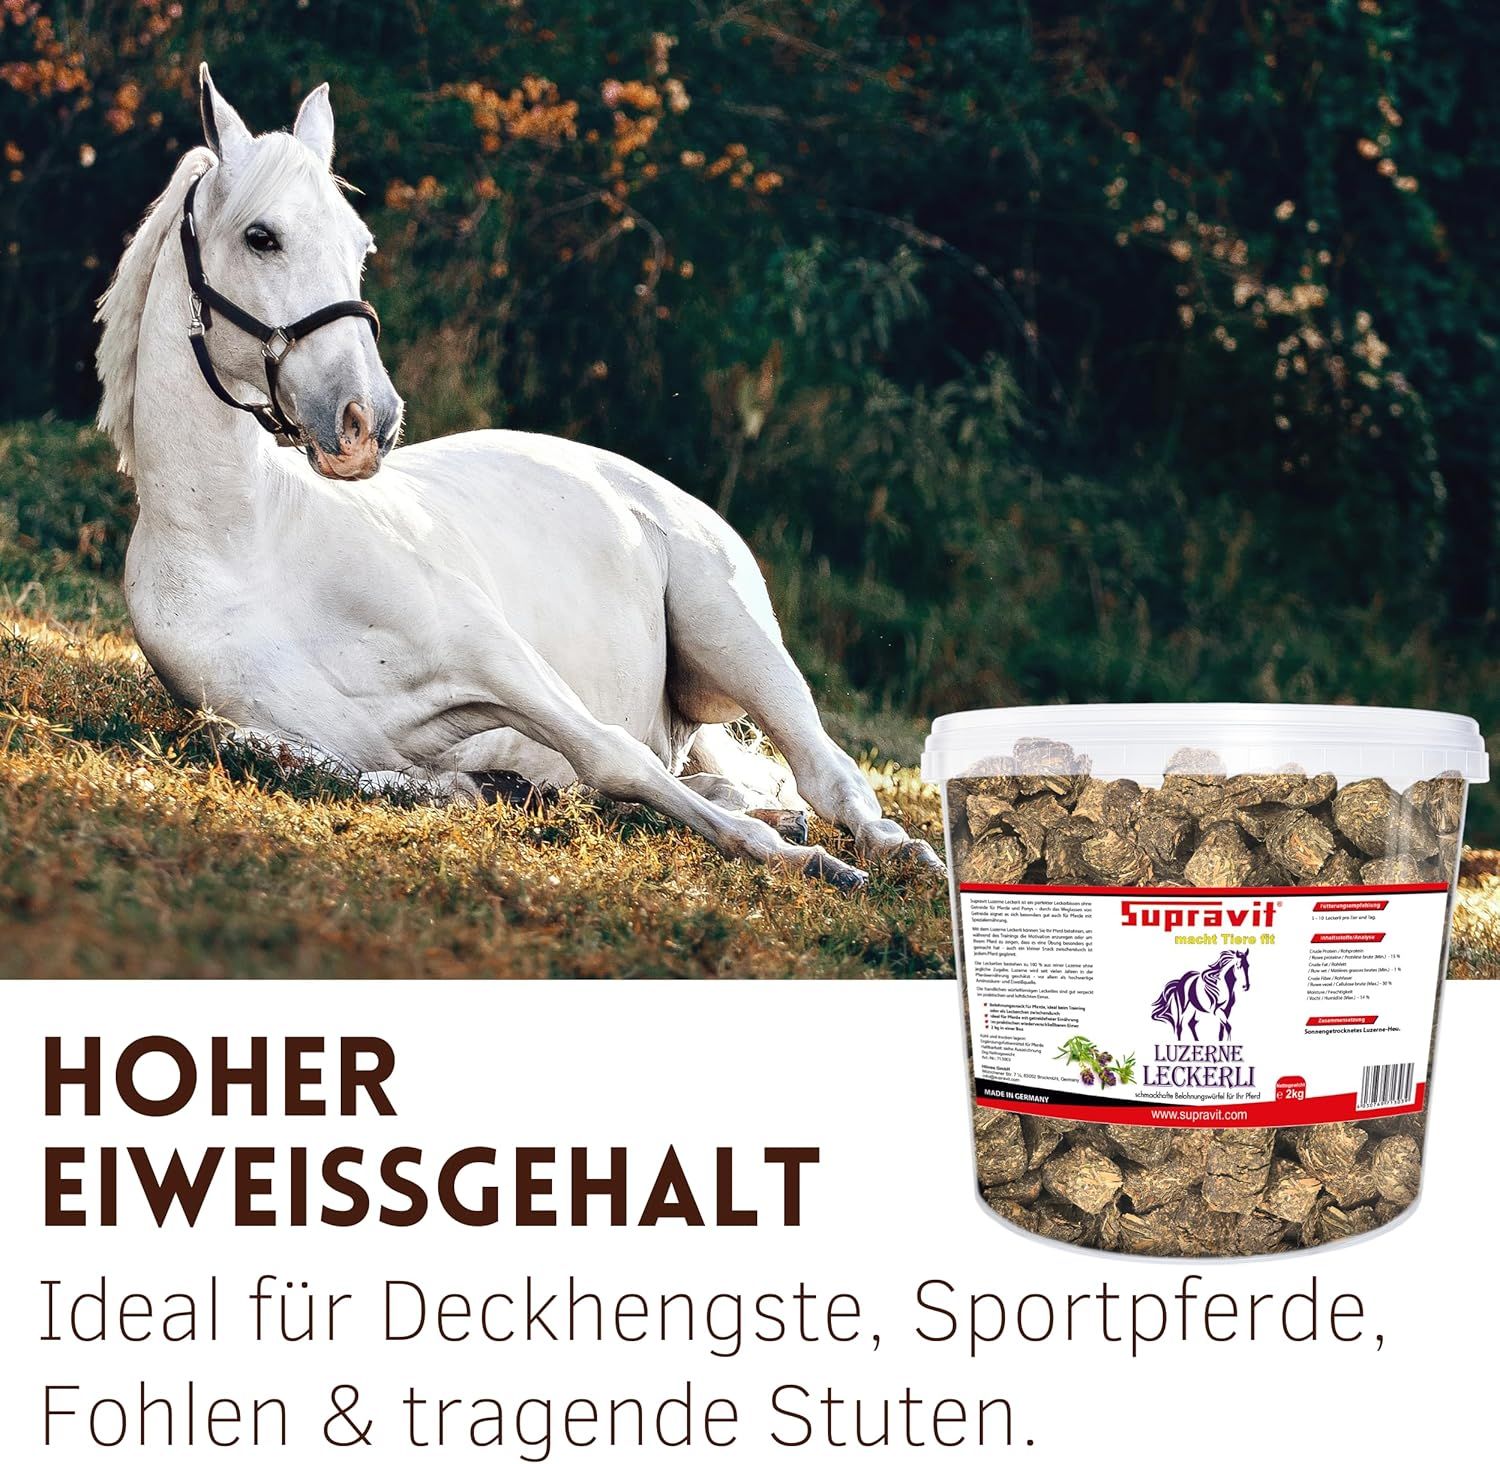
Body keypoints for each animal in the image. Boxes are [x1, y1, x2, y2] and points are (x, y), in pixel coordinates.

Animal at [95, 66, 943, 892]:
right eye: (261, 237)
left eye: (359, 246)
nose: (369, 420)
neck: (245, 544)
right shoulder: (289, 735)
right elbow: (332, 767)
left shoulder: (495, 657)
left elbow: (613, 753)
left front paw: (803, 862)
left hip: (740, 645)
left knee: (827, 773)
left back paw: (894, 853)